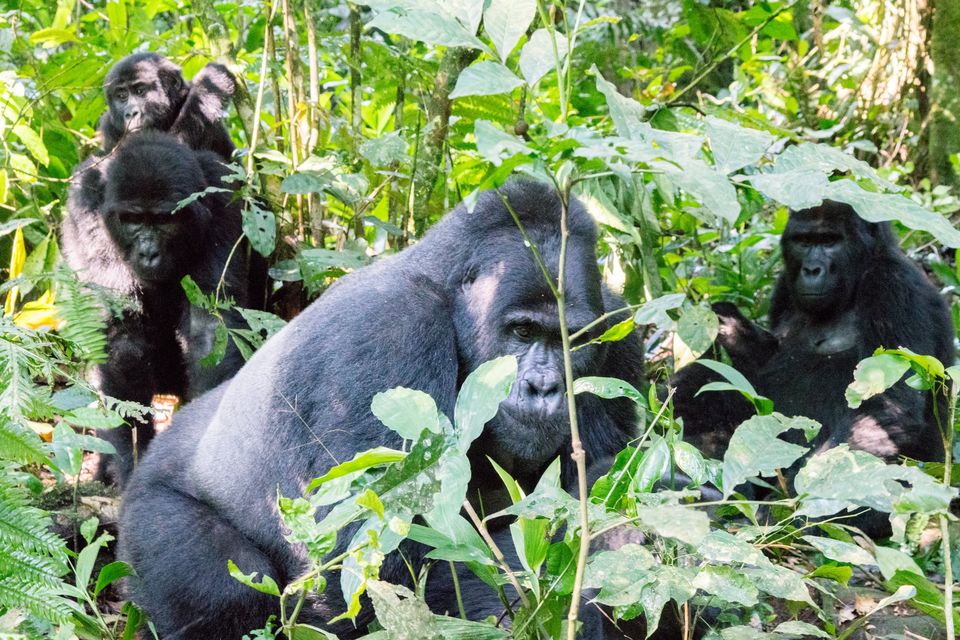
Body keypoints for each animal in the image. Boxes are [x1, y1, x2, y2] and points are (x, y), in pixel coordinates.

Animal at [62, 134, 260, 484]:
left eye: (164, 220)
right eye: (132, 220)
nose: (148, 253)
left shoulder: (222, 197)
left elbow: (211, 326)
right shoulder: (85, 205)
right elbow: (123, 337)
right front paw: (133, 458)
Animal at [120, 181, 644, 640]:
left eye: (572, 340)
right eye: (522, 331)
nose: (544, 386)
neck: (444, 287)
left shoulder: (618, 327)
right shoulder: (393, 327)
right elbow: (373, 569)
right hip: (144, 514)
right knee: (226, 585)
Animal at [672, 202, 956, 472]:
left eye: (830, 241)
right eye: (803, 241)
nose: (811, 270)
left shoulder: (893, 286)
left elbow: (889, 405)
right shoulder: (784, 286)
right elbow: (761, 363)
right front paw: (734, 329)